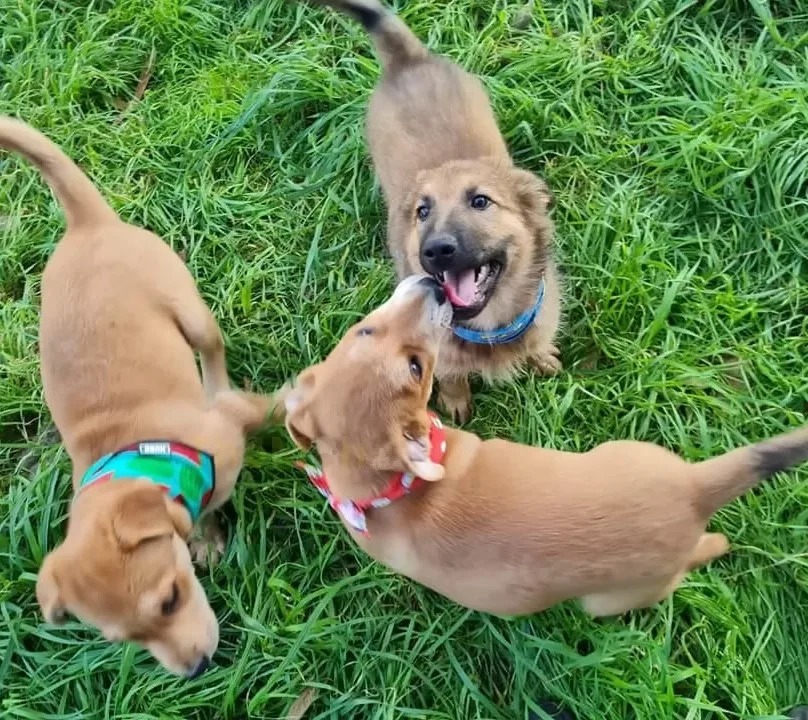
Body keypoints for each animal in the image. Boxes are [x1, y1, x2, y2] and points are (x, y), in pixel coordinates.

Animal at [0, 115, 286, 676]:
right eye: (129, 639)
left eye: (170, 600)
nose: (196, 670)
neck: (135, 453)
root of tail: (86, 226)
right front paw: (206, 537)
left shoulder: (231, 420)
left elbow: (276, 407)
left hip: (189, 308)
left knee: (211, 349)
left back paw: (215, 381)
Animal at [284, 276, 808, 620]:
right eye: (417, 368)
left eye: (363, 331)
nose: (434, 286)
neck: (385, 487)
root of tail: (693, 491)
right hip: (618, 586)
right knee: (698, 556)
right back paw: (716, 546)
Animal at [304, 0, 560, 424]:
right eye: (422, 211)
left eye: (480, 201)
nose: (436, 250)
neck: (487, 326)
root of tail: (408, 61)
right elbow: (450, 375)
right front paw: (455, 401)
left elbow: (537, 343)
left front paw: (542, 359)